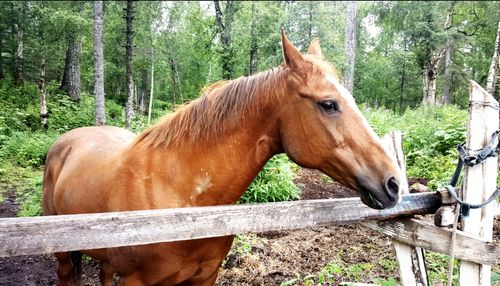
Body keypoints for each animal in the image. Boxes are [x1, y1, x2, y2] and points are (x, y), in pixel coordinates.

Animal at [42, 30, 402, 284]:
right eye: (328, 104)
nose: (394, 183)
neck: (181, 197)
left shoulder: (204, 277)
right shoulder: (136, 281)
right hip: (62, 257)